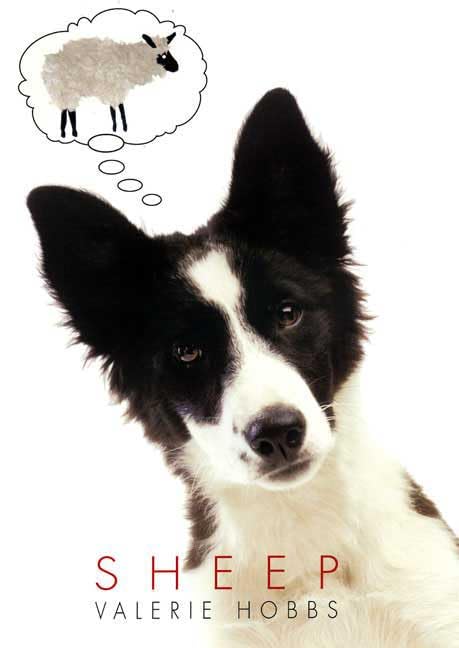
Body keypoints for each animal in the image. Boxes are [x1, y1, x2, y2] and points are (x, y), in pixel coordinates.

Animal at [42, 32, 178, 138]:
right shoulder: (113, 89)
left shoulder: (117, 89)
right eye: (164, 55)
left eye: (169, 51)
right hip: (67, 91)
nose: (177, 67)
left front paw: (120, 127)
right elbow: (116, 110)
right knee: (70, 111)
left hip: (65, 92)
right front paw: (118, 128)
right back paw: (72, 133)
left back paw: (65, 132)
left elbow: (118, 108)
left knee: (66, 111)